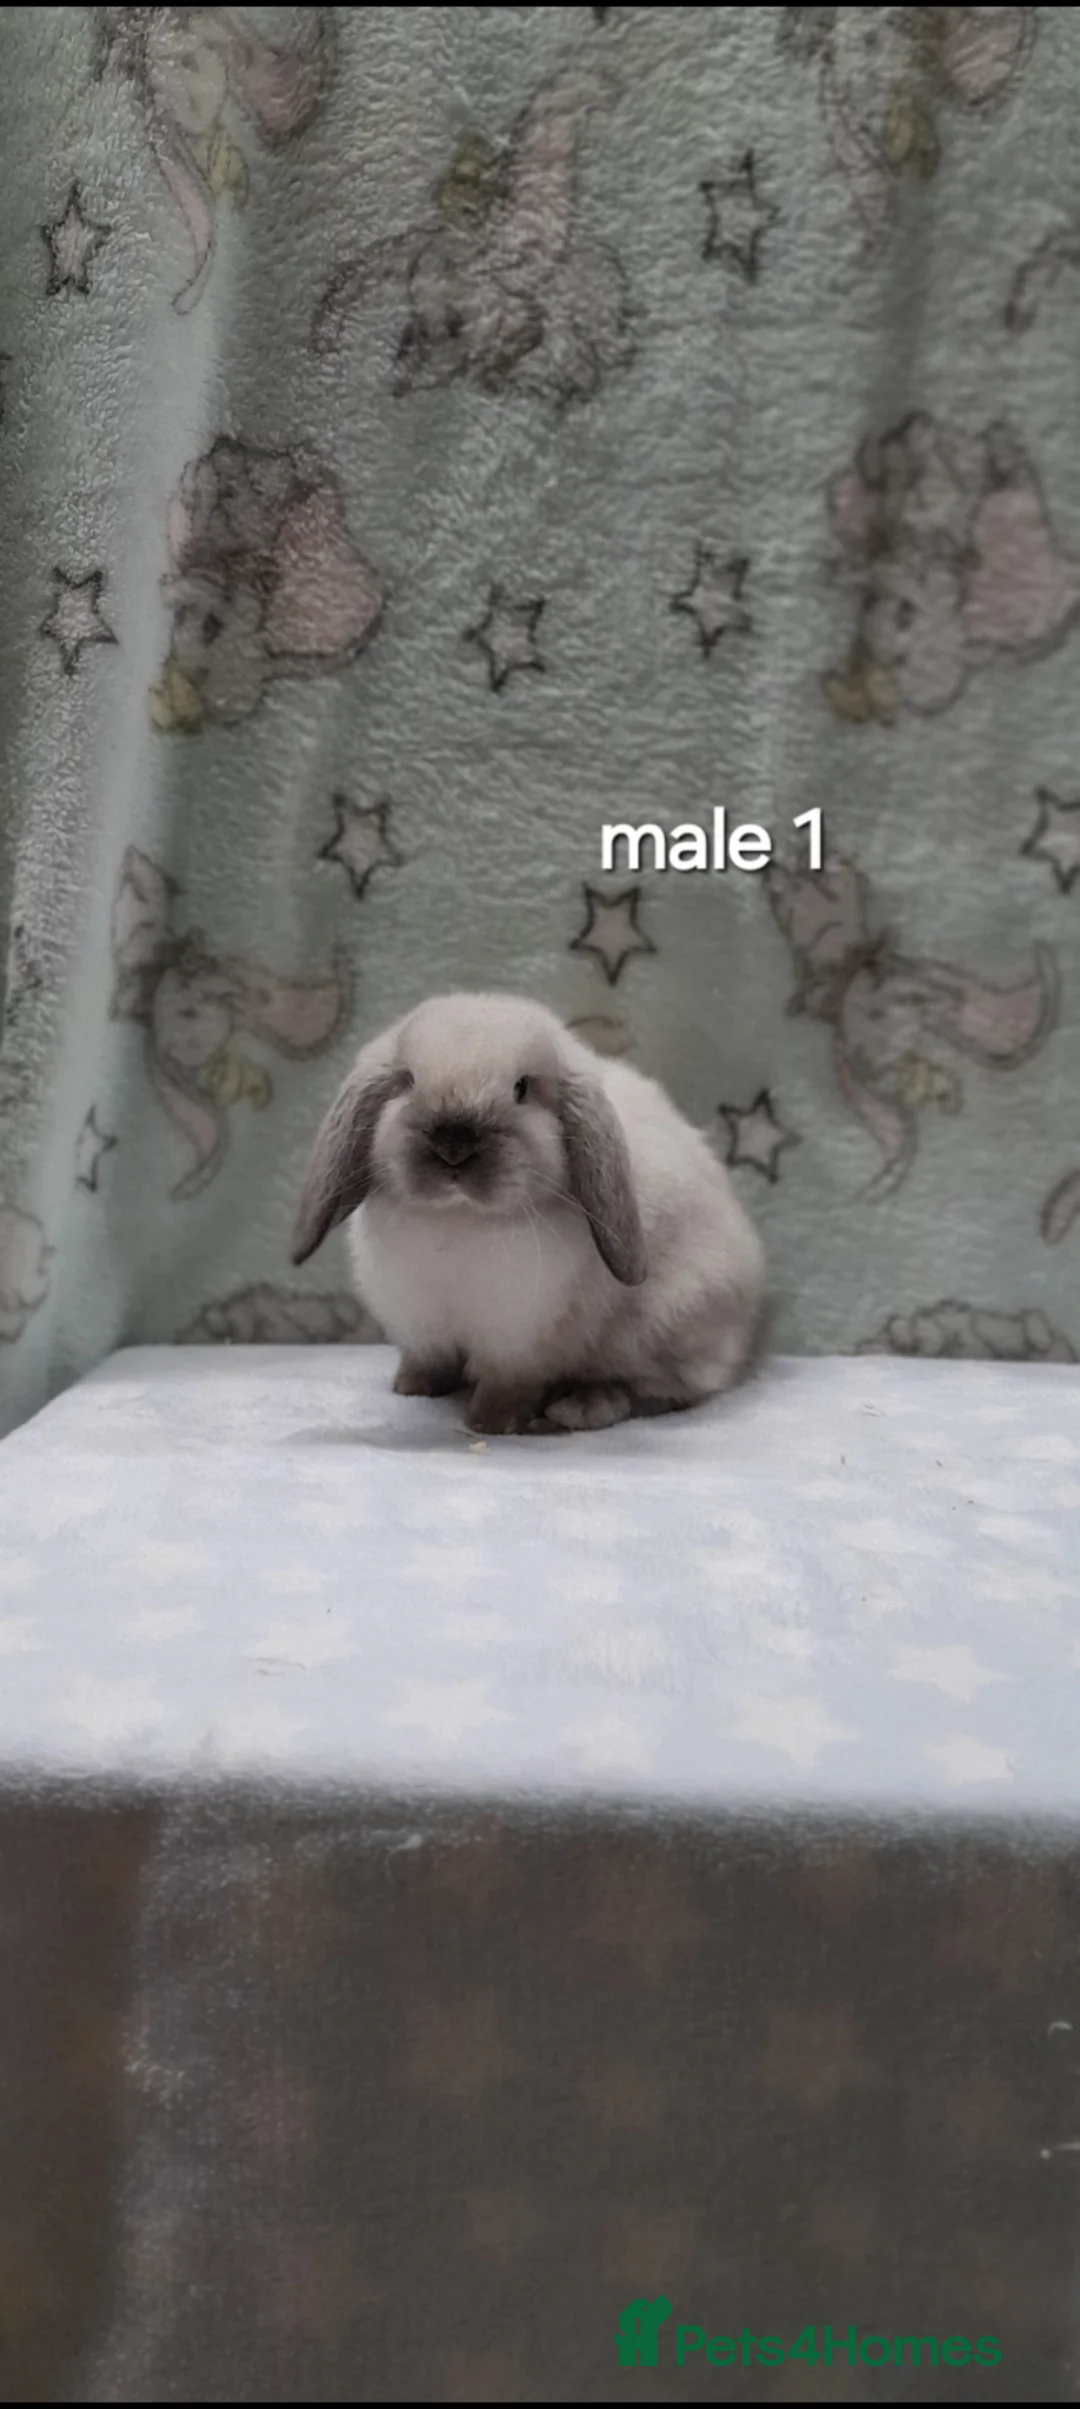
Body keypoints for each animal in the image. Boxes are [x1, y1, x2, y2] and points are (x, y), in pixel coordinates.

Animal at [291, 993, 765, 1436]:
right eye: (407, 1081)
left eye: (521, 1089)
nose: (453, 1143)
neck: (458, 1219)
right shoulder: (422, 1328)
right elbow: (429, 1361)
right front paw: (412, 1388)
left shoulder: (520, 1340)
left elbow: (507, 1384)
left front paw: (491, 1423)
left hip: (662, 1328)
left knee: (661, 1392)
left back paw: (578, 1409)